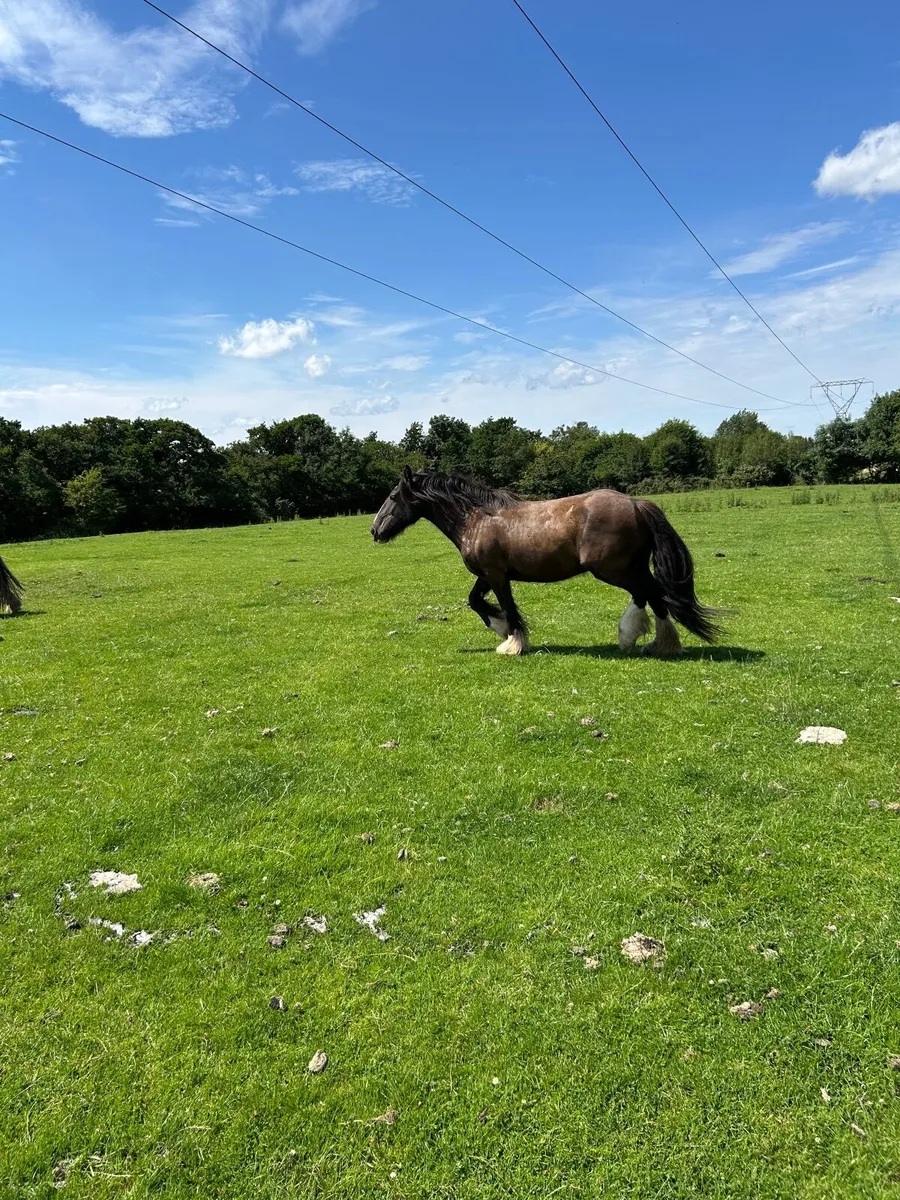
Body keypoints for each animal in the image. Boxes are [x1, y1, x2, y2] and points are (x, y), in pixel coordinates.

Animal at [371, 467, 721, 657]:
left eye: (393, 497)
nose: (374, 530)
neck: (477, 518)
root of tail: (636, 504)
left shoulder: (497, 576)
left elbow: (507, 607)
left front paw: (512, 642)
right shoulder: (487, 575)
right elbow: (475, 601)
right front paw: (501, 630)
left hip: (614, 569)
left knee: (653, 594)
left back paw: (656, 643)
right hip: (627, 568)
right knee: (647, 595)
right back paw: (643, 640)